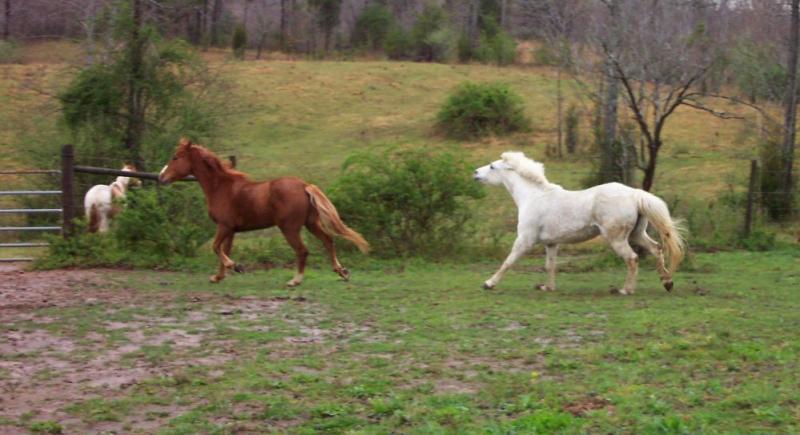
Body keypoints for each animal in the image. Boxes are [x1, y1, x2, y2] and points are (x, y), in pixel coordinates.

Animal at [159, 137, 368, 286]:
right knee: (328, 240)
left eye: (175, 157)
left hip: (290, 228)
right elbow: (223, 250)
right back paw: (342, 272)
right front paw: (218, 277)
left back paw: (295, 280)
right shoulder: (231, 230)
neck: (221, 188)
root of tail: (304, 185)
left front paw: (236, 266)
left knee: (303, 250)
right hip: (311, 223)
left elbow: (216, 248)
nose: (162, 177)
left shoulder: (224, 226)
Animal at [472, 152, 684, 294]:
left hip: (617, 238)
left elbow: (508, 261)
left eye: (492, 167)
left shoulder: (525, 239)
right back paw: (667, 282)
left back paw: (625, 290)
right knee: (656, 248)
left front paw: (488, 283)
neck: (533, 197)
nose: (475, 173)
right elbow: (550, 265)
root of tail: (634, 194)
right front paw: (547, 287)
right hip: (636, 234)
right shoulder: (551, 243)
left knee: (632, 258)